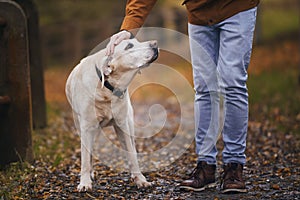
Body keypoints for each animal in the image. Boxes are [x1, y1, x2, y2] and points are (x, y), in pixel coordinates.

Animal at [65, 38, 159, 191]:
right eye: (129, 46)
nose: (155, 43)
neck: (107, 88)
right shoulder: (86, 128)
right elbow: (85, 159)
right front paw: (84, 182)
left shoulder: (122, 125)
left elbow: (132, 155)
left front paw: (140, 179)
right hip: (83, 128)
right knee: (89, 153)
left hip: (128, 124)